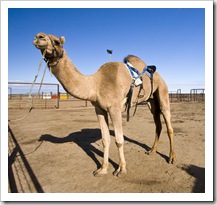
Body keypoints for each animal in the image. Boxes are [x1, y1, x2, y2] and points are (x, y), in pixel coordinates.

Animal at [32, 32, 176, 176]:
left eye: (57, 41)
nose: (39, 37)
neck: (96, 84)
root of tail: (159, 76)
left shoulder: (115, 109)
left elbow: (119, 140)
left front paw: (121, 169)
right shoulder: (99, 109)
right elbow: (105, 139)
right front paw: (103, 168)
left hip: (163, 91)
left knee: (169, 126)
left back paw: (171, 157)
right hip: (151, 101)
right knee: (157, 125)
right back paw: (152, 151)